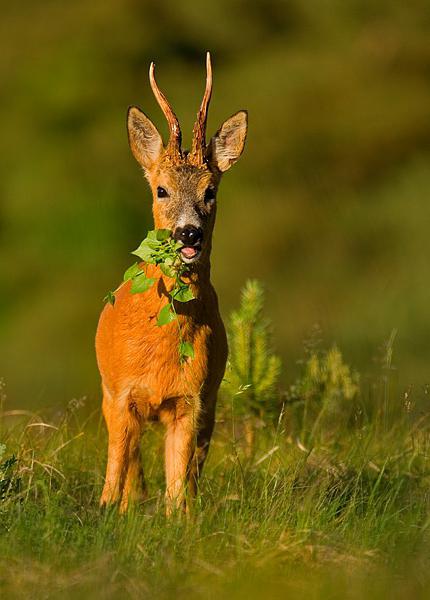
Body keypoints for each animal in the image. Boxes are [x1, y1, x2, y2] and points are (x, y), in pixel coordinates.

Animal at [95, 54, 247, 512]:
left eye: (210, 191)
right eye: (161, 190)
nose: (188, 233)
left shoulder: (191, 400)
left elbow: (178, 490)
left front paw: (177, 520)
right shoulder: (121, 394)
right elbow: (115, 474)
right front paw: (107, 512)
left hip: (209, 405)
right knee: (130, 465)